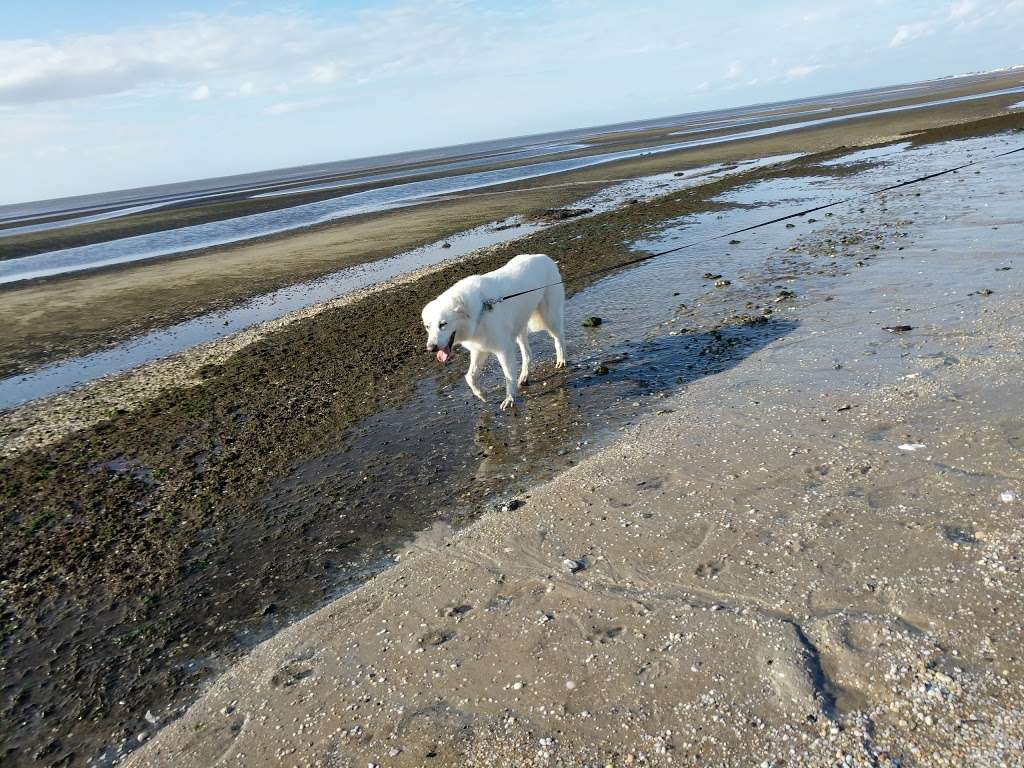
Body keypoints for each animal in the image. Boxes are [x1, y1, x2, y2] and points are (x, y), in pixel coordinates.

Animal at [421, 252, 569, 411]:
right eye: (427, 326)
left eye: (443, 324)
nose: (431, 348)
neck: (479, 311)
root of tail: (544, 257)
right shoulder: (479, 350)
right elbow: (470, 377)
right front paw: (482, 395)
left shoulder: (503, 350)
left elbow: (508, 376)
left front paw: (509, 399)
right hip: (519, 328)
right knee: (528, 354)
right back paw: (524, 377)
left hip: (549, 317)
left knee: (559, 338)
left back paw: (561, 360)